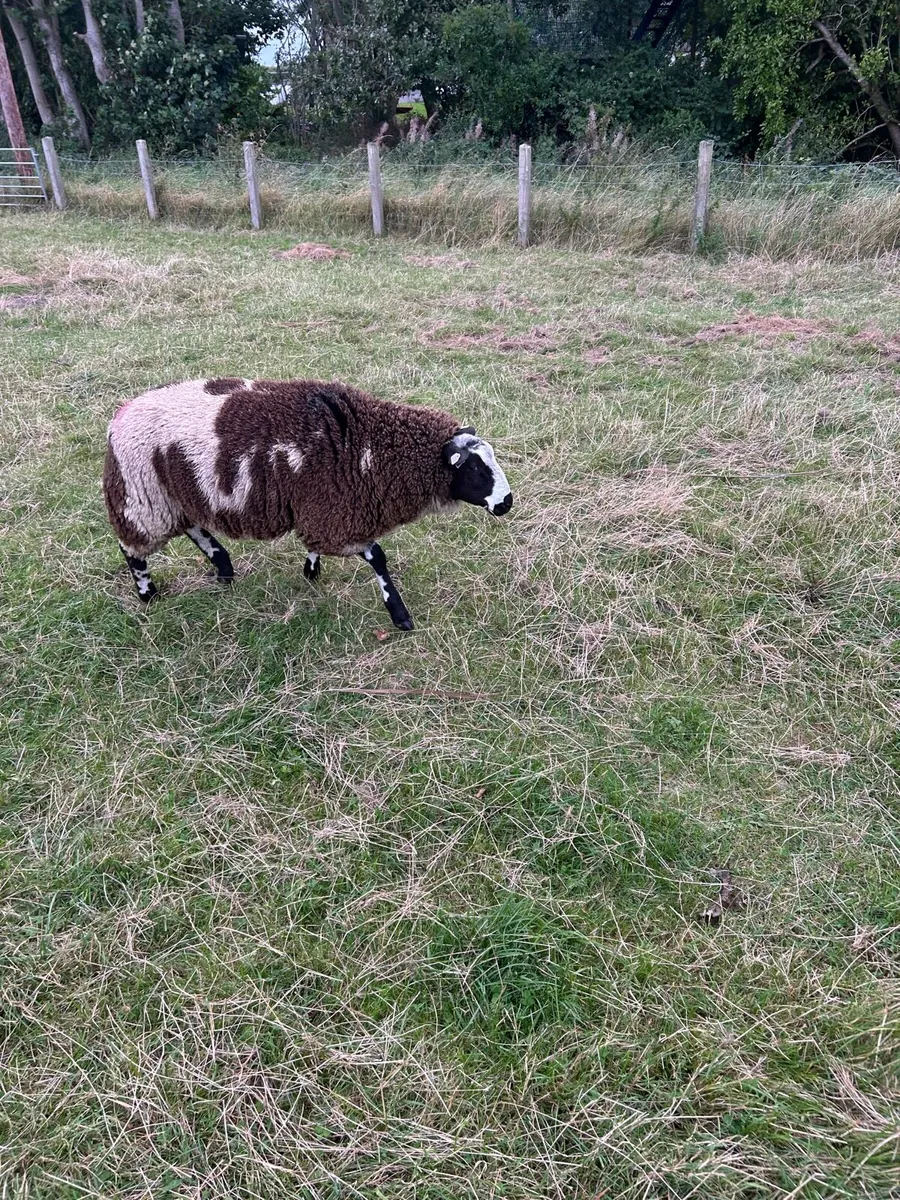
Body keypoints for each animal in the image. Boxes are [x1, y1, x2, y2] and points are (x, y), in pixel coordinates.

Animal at [103, 377, 513, 629]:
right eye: (476, 470)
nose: (506, 503)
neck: (370, 448)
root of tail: (119, 415)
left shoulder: (325, 507)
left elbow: (320, 545)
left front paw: (311, 570)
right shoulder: (334, 513)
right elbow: (377, 557)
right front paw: (399, 615)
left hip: (174, 494)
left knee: (193, 527)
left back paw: (223, 569)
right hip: (143, 497)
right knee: (133, 550)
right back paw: (148, 595)